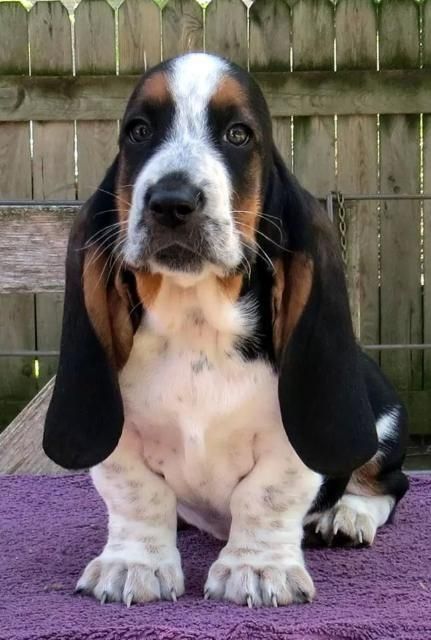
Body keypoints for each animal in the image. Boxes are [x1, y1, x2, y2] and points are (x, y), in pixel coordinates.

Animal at [43, 52, 408, 608]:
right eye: (138, 131)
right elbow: (136, 492)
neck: (196, 323)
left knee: (389, 483)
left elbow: (266, 494)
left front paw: (256, 569)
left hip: (383, 422)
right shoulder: (122, 439)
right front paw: (133, 564)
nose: (171, 201)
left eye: (238, 134)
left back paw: (347, 515)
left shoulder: (287, 445)